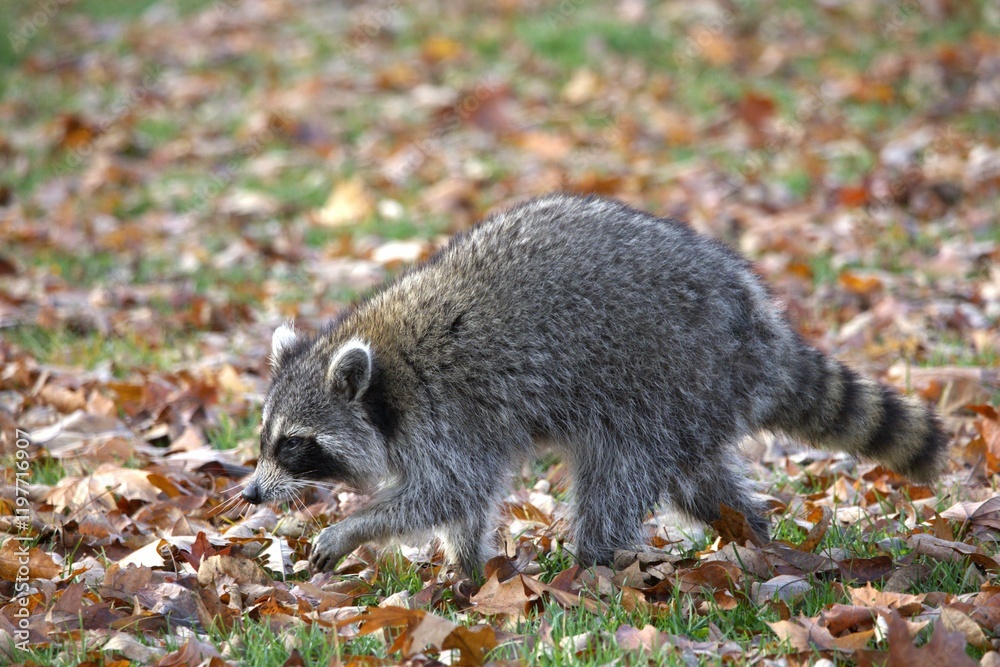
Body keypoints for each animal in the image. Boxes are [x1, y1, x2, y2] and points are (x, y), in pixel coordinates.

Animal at [241, 194, 948, 577]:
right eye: (265, 437)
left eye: (294, 445)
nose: (249, 493)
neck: (386, 375)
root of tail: (760, 331)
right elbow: (464, 502)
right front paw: (465, 569)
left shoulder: (452, 412)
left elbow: (444, 492)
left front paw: (356, 528)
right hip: (690, 407)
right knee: (699, 484)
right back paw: (753, 533)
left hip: (663, 382)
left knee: (613, 482)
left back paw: (592, 568)